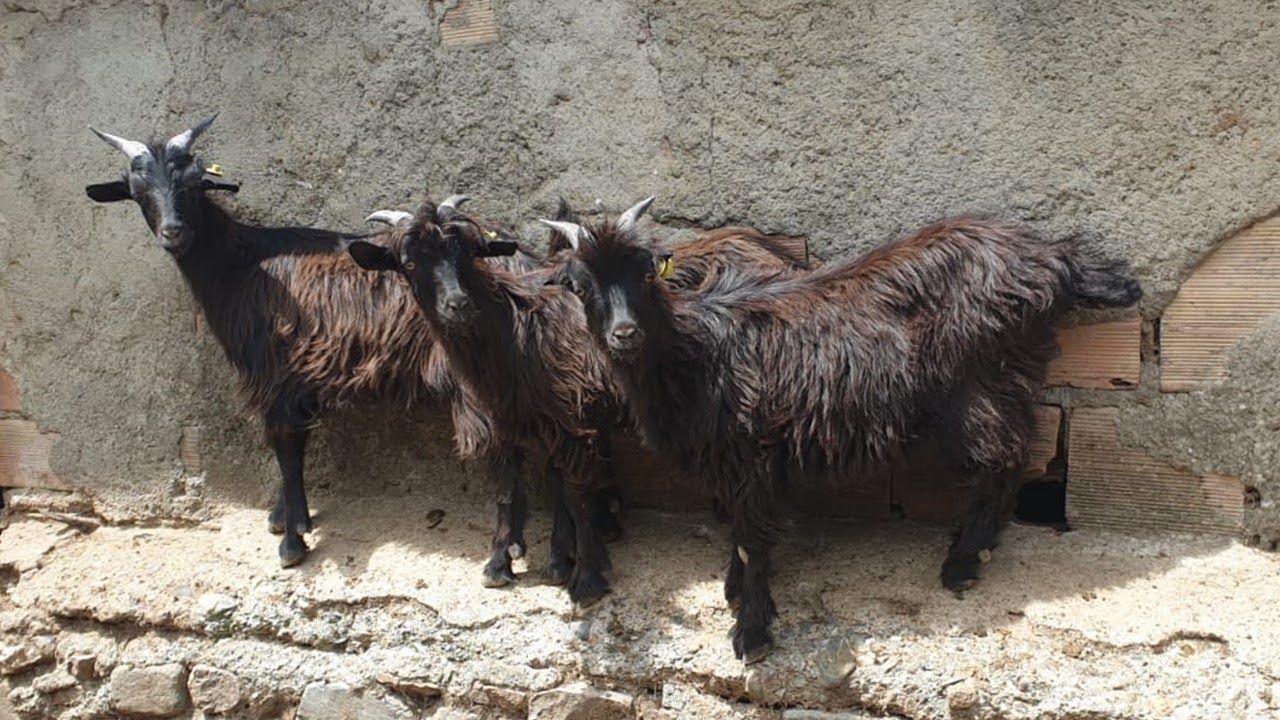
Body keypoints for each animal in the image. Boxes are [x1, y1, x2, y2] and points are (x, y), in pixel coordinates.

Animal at [84, 116, 548, 573]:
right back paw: (518, 546)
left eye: (195, 183)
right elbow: (296, 448)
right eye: (136, 189)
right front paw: (287, 516)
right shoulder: (301, 381)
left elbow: (286, 453)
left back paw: (499, 560)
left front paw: (291, 542)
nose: (173, 232)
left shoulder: (273, 376)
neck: (241, 264)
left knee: (506, 454)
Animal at [547, 197, 1142, 662]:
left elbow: (752, 539)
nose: (625, 334)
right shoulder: (732, 462)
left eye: (647, 273)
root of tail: (1051, 260)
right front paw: (736, 592)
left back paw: (963, 563)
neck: (698, 350)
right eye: (581, 285)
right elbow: (739, 532)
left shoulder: (750, 451)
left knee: (1004, 459)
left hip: (977, 387)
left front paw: (752, 633)